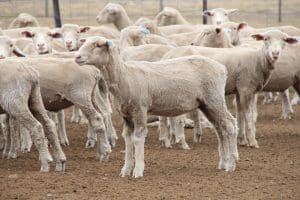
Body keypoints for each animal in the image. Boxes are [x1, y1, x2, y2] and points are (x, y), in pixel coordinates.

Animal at [75, 35, 239, 177]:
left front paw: (138, 171)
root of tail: (222, 68)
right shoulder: (126, 115)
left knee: (230, 125)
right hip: (207, 104)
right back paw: (223, 163)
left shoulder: (140, 110)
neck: (125, 76)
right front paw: (125, 170)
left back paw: (231, 164)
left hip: (215, 99)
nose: (77, 57)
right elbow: (128, 140)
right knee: (220, 129)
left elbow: (138, 139)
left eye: (97, 45)